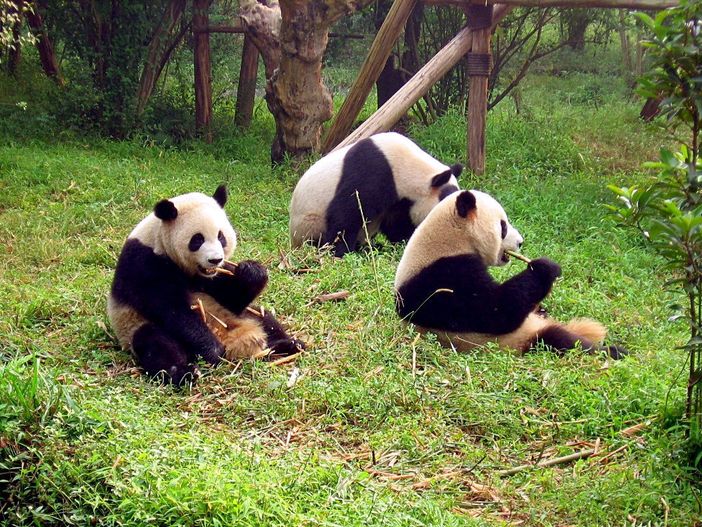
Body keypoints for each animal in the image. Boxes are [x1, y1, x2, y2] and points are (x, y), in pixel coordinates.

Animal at [107, 185, 304, 385]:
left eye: (221, 237)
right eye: (197, 239)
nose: (215, 259)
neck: (159, 240)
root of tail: (233, 341)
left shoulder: (212, 277)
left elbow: (232, 298)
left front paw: (252, 272)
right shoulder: (144, 264)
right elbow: (173, 310)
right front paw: (212, 349)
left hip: (239, 315)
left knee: (264, 317)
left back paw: (289, 344)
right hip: (134, 325)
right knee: (156, 343)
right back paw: (185, 372)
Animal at [289, 132, 462, 257]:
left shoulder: (400, 200)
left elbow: (397, 222)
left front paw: (406, 242)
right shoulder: (372, 172)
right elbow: (347, 213)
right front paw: (340, 251)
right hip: (309, 223)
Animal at [394, 189, 626, 358]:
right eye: (503, 226)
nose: (521, 242)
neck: (449, 239)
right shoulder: (443, 276)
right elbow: (496, 310)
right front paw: (545, 268)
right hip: (523, 339)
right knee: (560, 340)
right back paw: (612, 351)